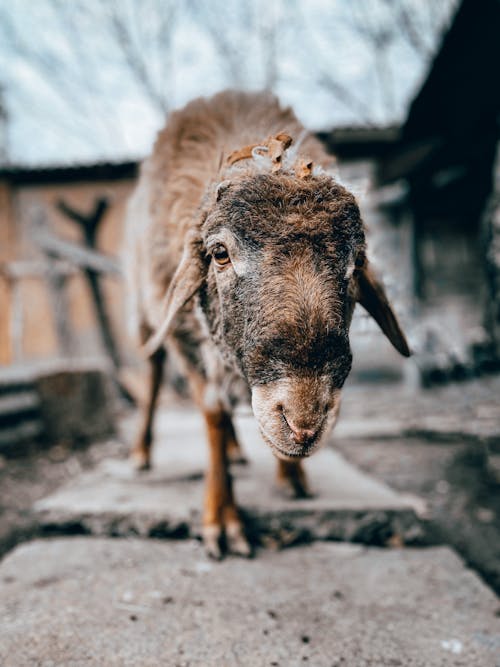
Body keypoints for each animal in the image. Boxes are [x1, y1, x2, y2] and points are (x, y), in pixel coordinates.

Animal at [125, 88, 410, 560]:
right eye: (219, 253)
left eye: (355, 263)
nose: (304, 422)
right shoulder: (188, 341)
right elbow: (213, 413)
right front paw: (222, 519)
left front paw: (290, 476)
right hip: (148, 317)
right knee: (153, 372)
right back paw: (142, 453)